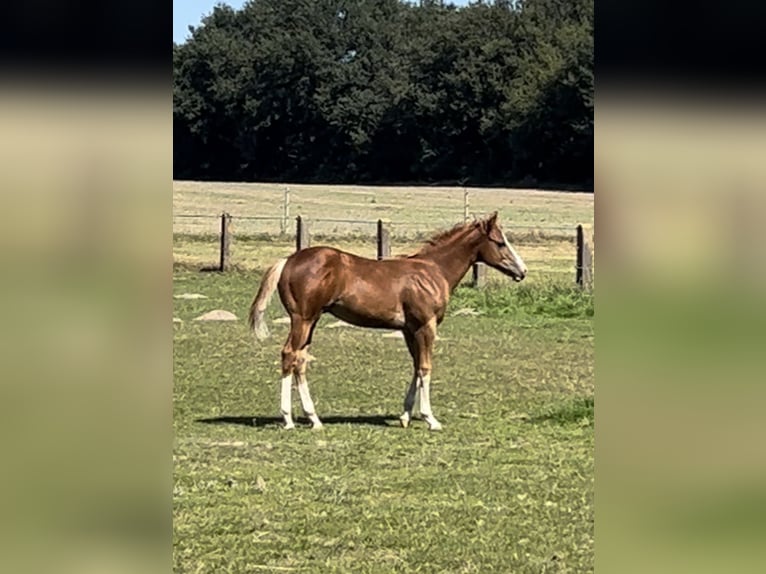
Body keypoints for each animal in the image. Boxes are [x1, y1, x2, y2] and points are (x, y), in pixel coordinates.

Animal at [249, 212, 532, 432]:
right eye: (500, 243)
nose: (523, 271)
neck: (433, 271)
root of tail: (288, 260)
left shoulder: (409, 329)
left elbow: (416, 366)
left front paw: (405, 416)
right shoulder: (426, 325)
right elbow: (425, 367)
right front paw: (430, 419)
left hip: (313, 321)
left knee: (300, 360)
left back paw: (314, 419)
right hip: (303, 319)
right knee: (289, 354)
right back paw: (288, 419)